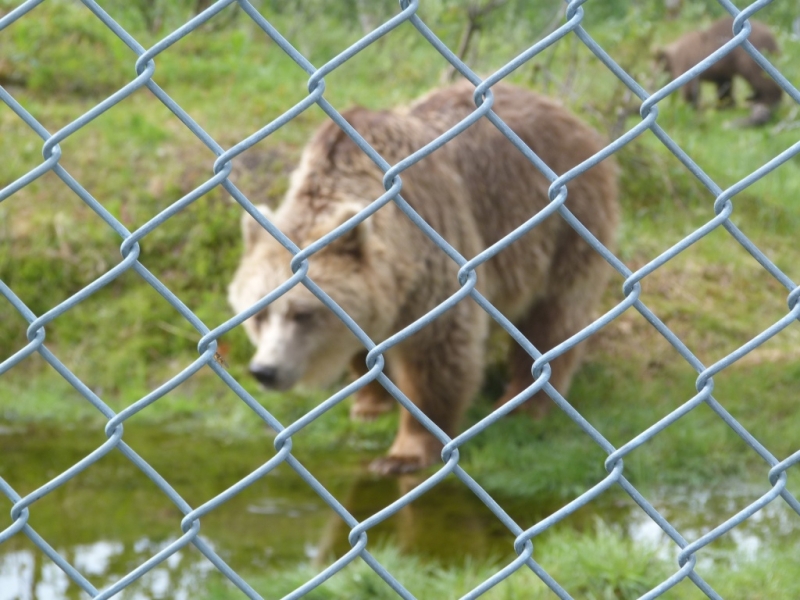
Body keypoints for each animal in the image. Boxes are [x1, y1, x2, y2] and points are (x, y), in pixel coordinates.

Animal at [228, 81, 620, 474]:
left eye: (303, 314)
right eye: (258, 315)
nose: (265, 370)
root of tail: (566, 113)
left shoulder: (435, 249)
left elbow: (438, 354)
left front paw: (405, 452)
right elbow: (368, 352)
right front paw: (369, 403)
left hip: (564, 223)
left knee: (554, 317)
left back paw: (524, 402)